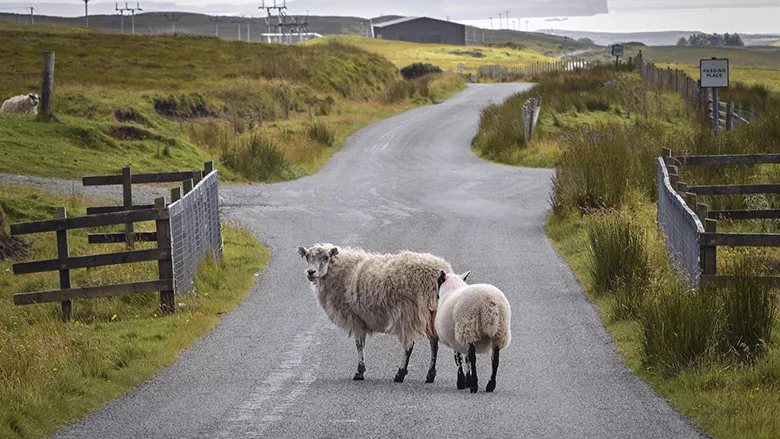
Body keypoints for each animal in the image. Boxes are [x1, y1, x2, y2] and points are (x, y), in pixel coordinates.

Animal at [297, 243, 452, 383]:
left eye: (325, 257)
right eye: (307, 257)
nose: (311, 272)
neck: (342, 271)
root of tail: (439, 270)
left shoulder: (355, 319)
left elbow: (359, 345)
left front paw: (359, 372)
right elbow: (361, 344)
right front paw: (361, 370)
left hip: (408, 312)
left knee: (409, 346)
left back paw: (400, 374)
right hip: (432, 313)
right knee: (434, 343)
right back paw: (430, 375)